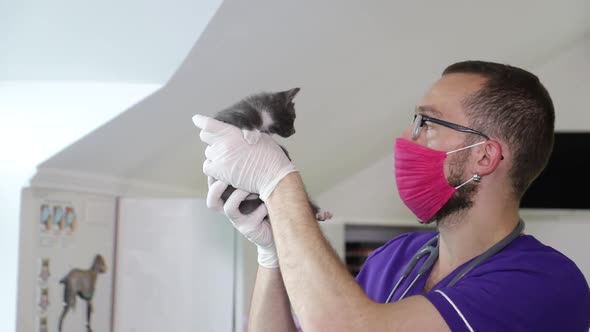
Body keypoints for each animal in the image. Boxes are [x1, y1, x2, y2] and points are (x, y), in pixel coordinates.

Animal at [214, 87, 332, 220]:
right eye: (293, 117)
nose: (294, 131)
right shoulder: (224, 116)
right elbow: (240, 117)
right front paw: (251, 133)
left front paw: (284, 153)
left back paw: (321, 213)